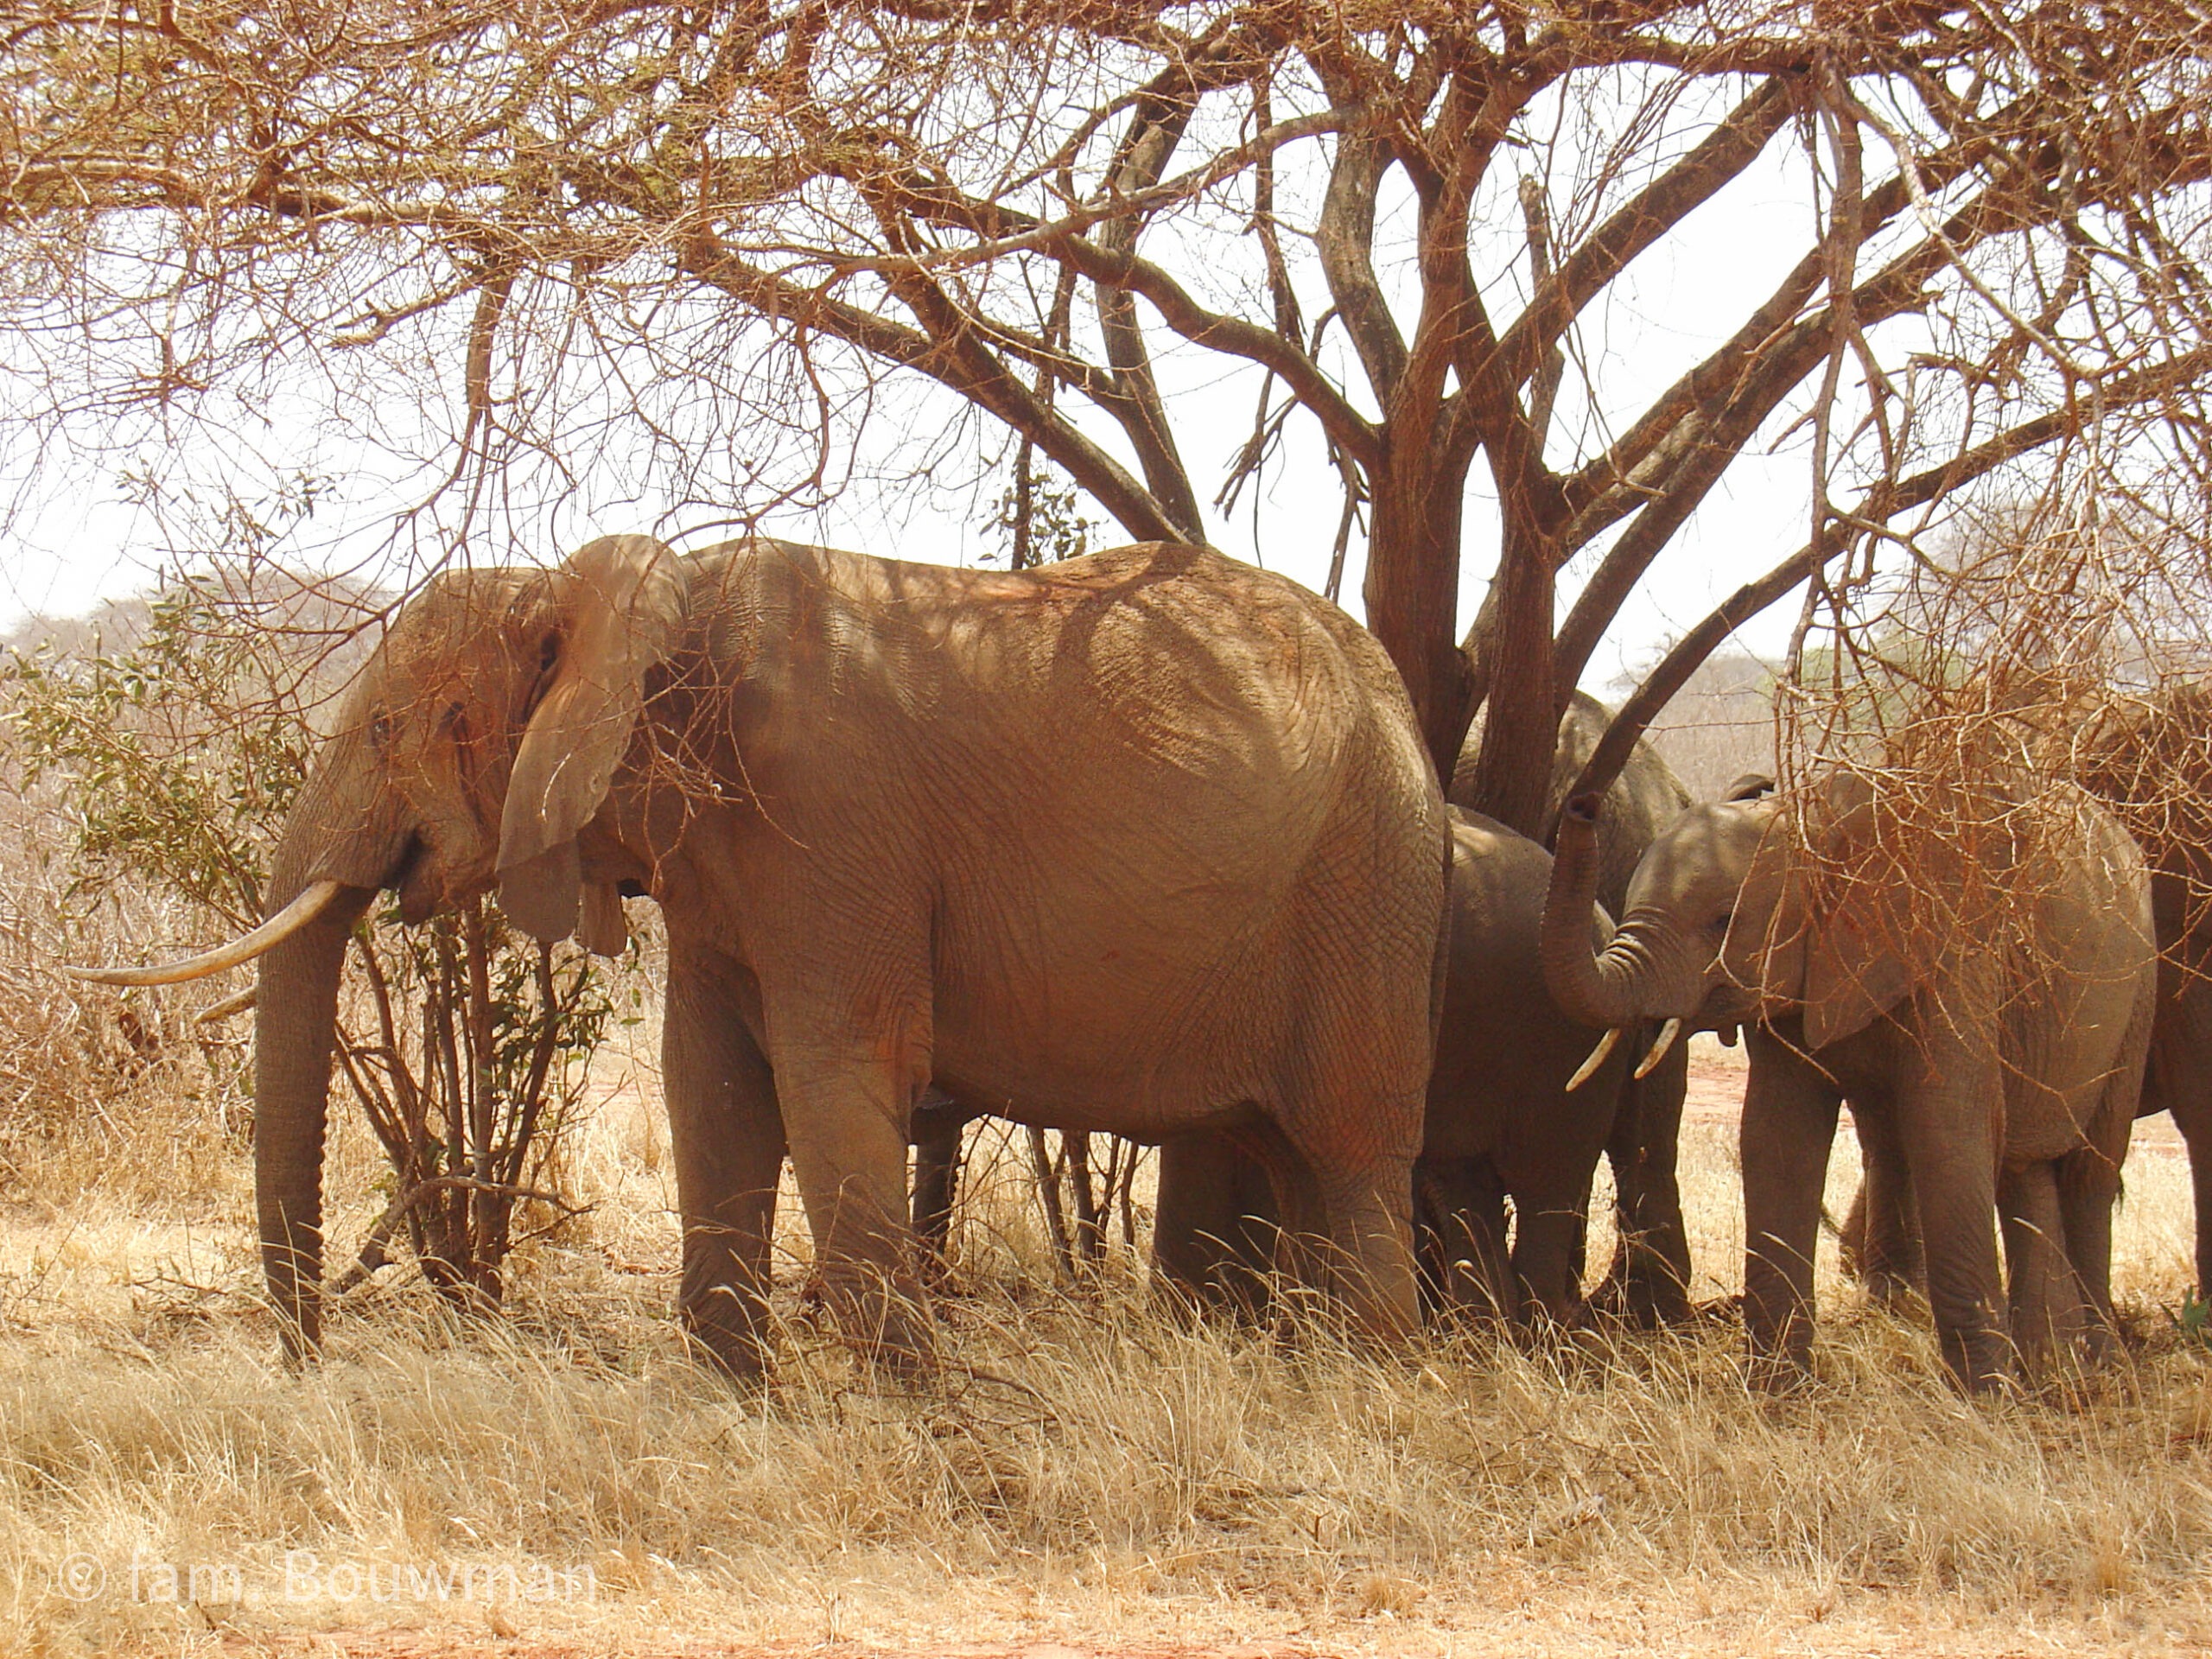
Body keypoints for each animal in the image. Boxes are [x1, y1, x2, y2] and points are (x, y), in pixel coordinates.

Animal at [69, 532, 1451, 1380]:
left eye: (397, 728)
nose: (310, 1360)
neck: (629, 605)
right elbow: (712, 1083)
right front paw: (734, 1393)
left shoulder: (828, 819)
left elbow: (833, 1073)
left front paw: (909, 1412)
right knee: (1288, 1154)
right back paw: (1313, 1369)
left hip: (1368, 877)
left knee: (1350, 1146)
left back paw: (1370, 1382)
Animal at [1548, 774, 2150, 1397]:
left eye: (1722, 921)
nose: (1581, 805)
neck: (1811, 825)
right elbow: (1778, 1136)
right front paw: (1776, 1394)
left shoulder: (1953, 961)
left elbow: (1946, 1132)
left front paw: (1985, 1397)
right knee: (2022, 1169)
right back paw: (2052, 1371)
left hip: (2138, 995)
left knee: (2088, 1173)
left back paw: (2095, 1365)